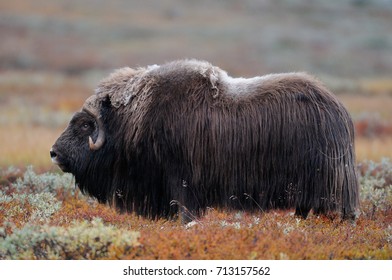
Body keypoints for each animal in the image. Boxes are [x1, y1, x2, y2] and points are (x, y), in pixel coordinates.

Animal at [50, 59, 360, 221]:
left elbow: (187, 212)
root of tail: (338, 108)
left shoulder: (183, 181)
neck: (134, 119)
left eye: (85, 124)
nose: (54, 153)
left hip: (325, 183)